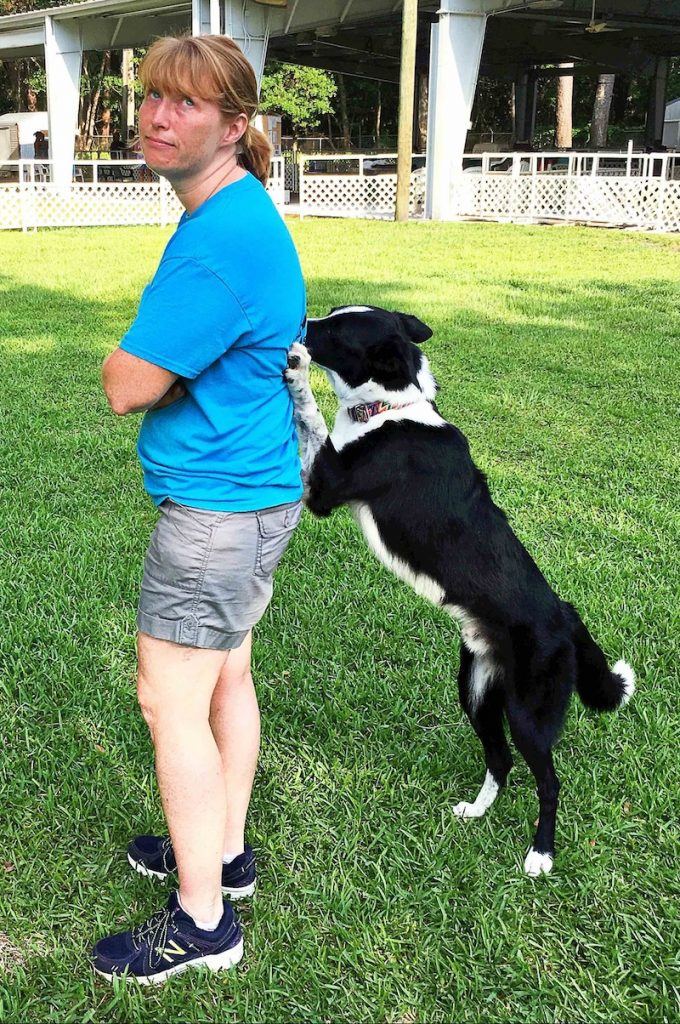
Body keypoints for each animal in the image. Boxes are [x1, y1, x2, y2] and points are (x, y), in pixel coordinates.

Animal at [284, 303, 634, 872]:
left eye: (335, 329)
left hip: (528, 713)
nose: (300, 322)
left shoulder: (326, 487)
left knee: (548, 781)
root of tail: (565, 615)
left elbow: (310, 416)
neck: (390, 407)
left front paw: (296, 372)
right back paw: (478, 810)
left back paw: (541, 853)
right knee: (501, 760)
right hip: (478, 693)